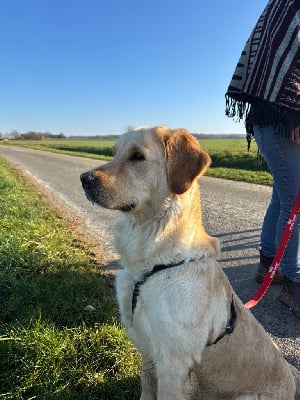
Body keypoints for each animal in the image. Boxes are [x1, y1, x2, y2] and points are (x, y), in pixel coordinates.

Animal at [80, 126, 300, 398]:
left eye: (137, 156)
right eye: (115, 153)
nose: (84, 178)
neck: (158, 262)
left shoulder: (173, 363)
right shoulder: (149, 354)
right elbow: (146, 388)